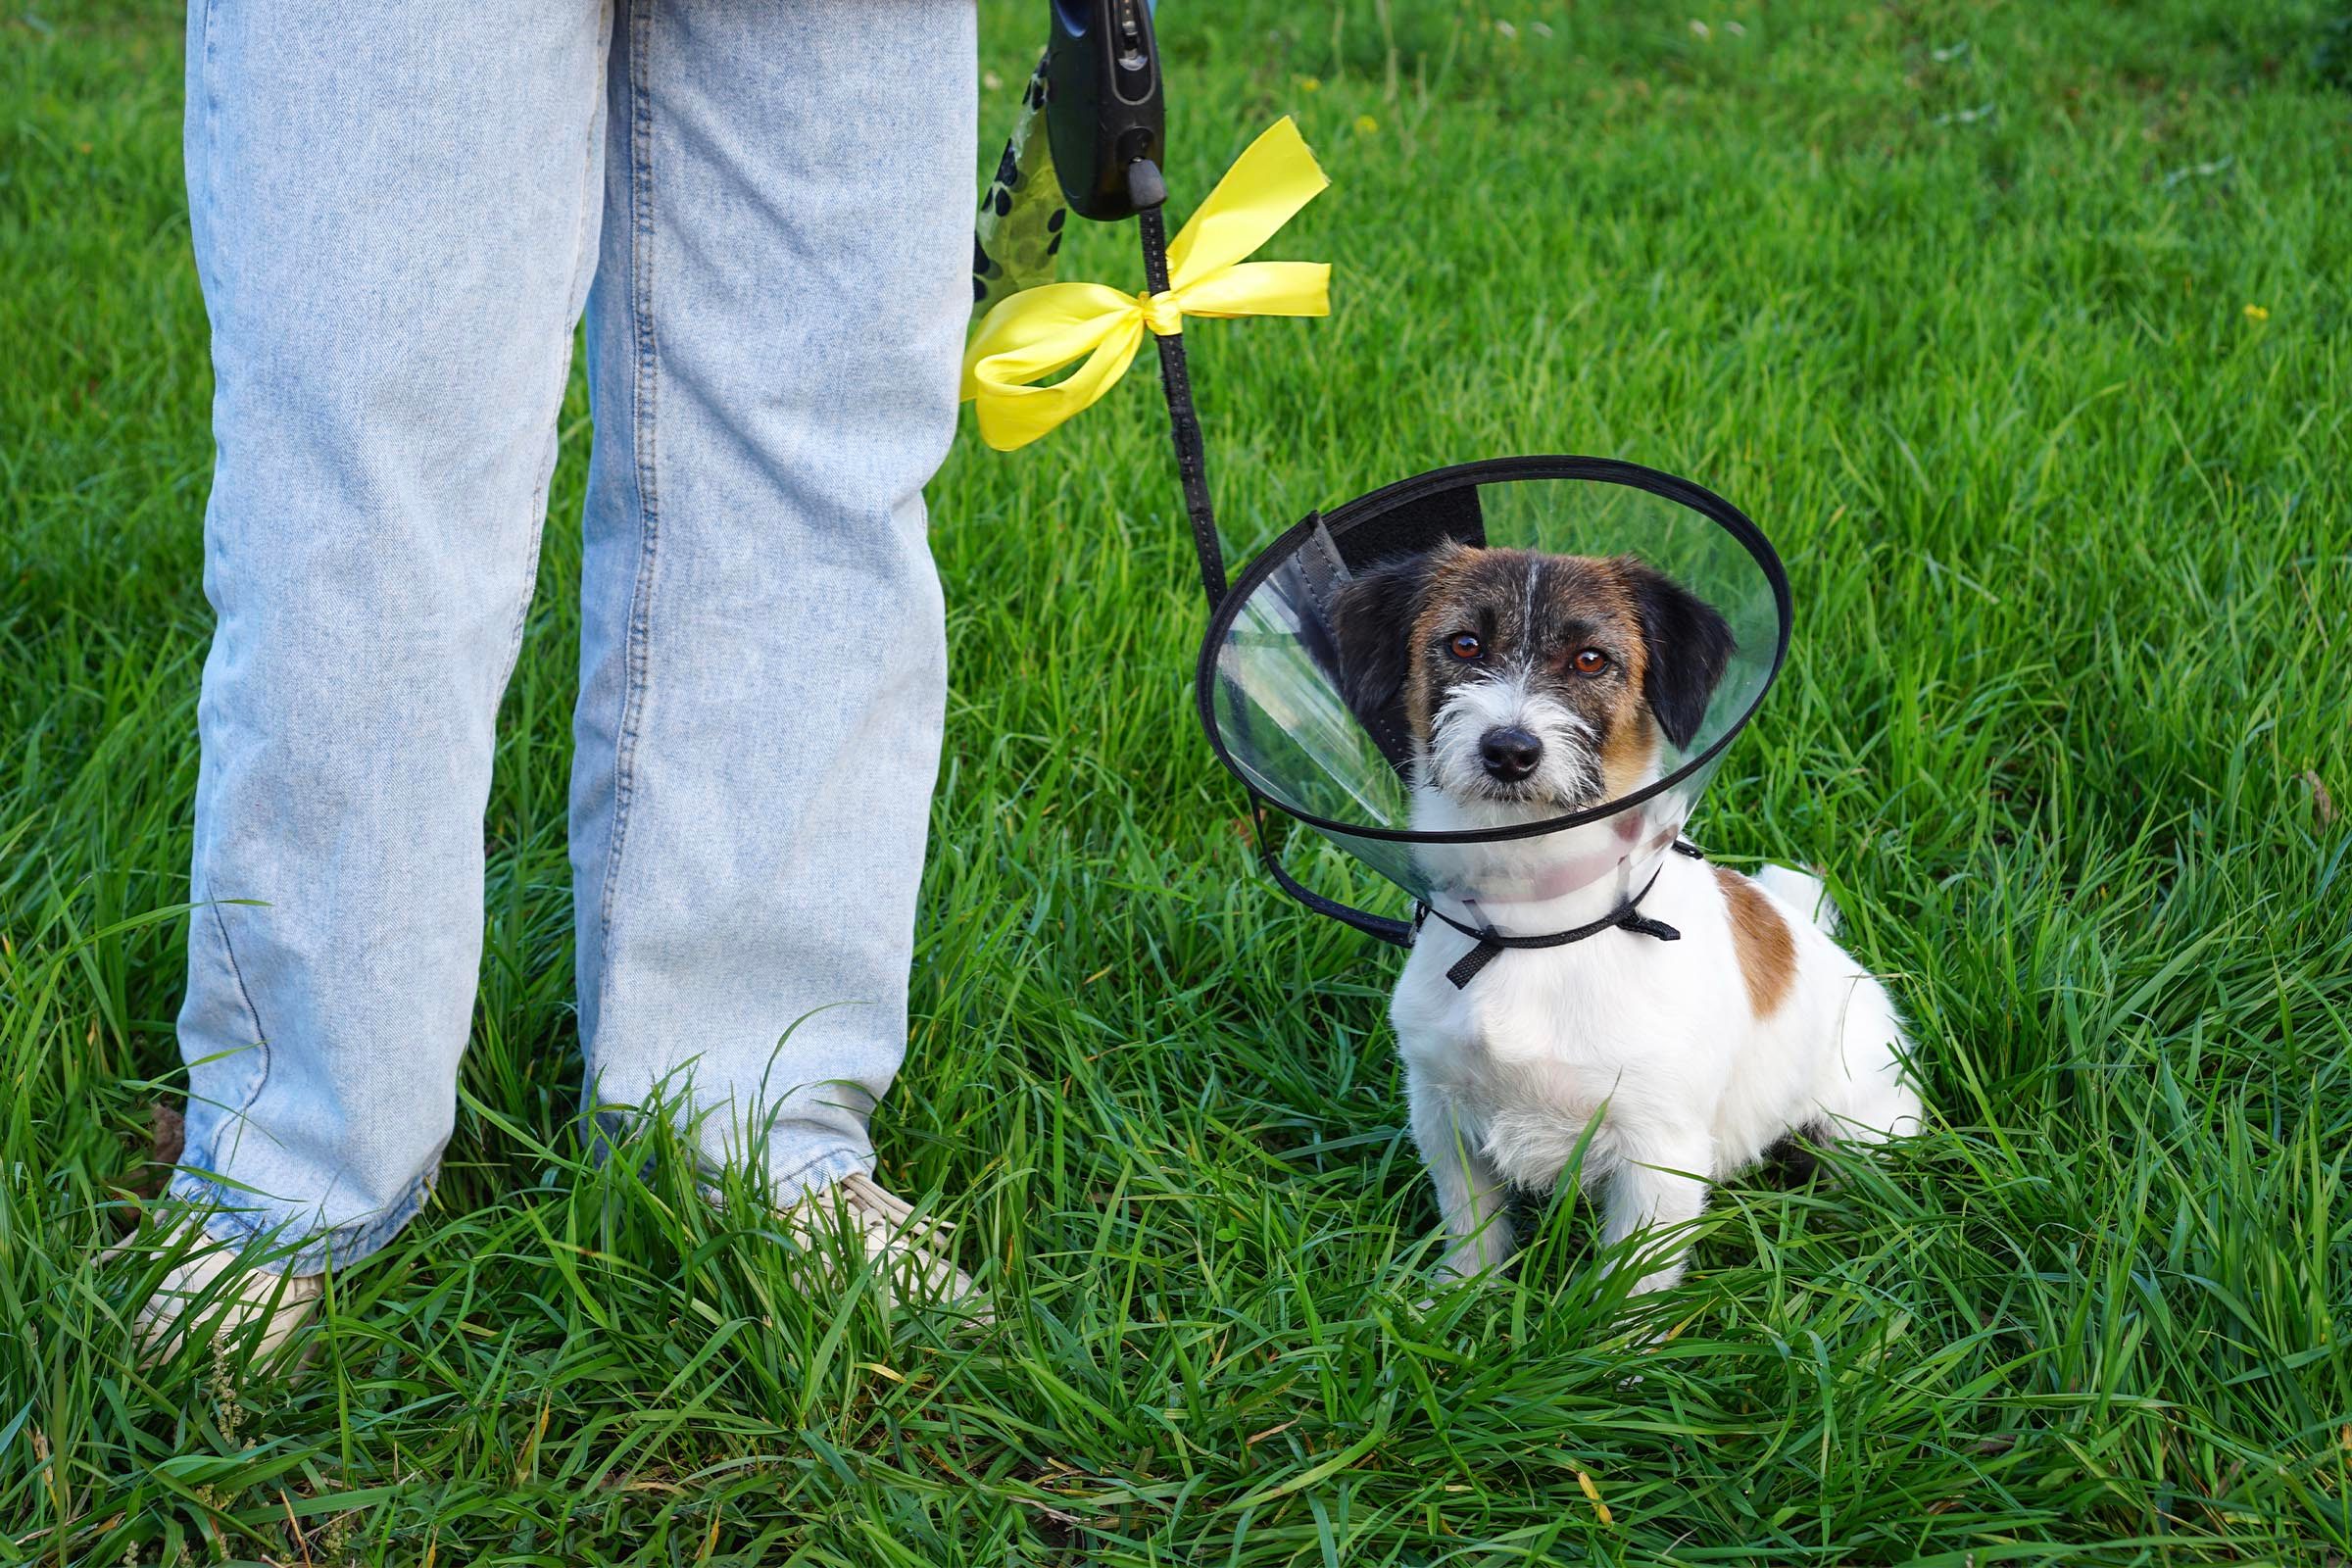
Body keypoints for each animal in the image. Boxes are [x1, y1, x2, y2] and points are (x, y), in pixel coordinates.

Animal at [1336, 545, 1919, 1298]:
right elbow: (1473, 1232)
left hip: (1862, 1128)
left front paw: (1615, 1335)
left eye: (1590, 660)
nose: (1509, 750)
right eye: (1464, 644)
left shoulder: (1657, 1153)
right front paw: (1458, 1303)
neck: (1537, 924)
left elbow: (1630, 1282)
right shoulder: (1443, 1118)